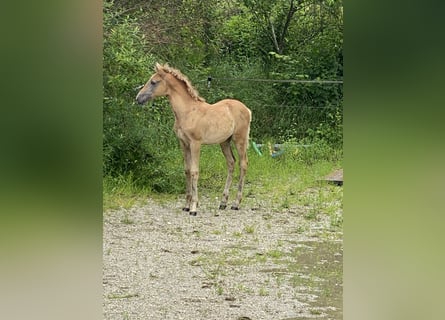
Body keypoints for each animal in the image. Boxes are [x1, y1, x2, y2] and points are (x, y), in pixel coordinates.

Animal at [135, 62, 250, 216]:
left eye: (153, 82)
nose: (138, 98)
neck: (188, 112)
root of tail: (247, 109)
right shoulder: (183, 143)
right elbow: (187, 170)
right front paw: (186, 205)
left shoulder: (195, 143)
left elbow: (195, 171)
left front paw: (194, 208)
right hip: (224, 142)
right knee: (231, 163)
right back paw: (223, 203)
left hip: (240, 140)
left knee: (243, 164)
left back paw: (236, 204)